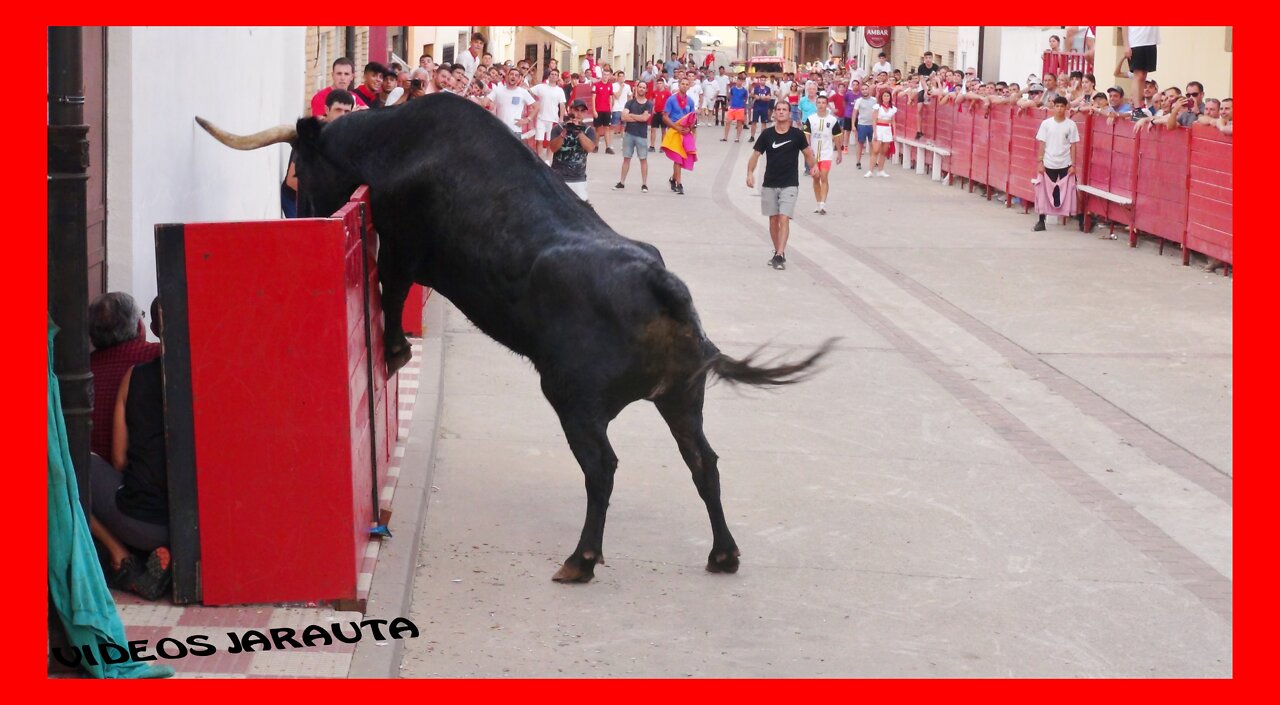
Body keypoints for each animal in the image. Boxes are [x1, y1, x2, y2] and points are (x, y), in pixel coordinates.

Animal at [189, 90, 829, 580]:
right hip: (681, 398)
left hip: (574, 399)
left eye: (301, 162)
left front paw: (395, 353)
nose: (300, 213)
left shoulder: (401, 247)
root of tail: (659, 281)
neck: (395, 139)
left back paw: (582, 559)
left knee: (602, 467)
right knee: (704, 463)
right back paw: (723, 554)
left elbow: (390, 296)